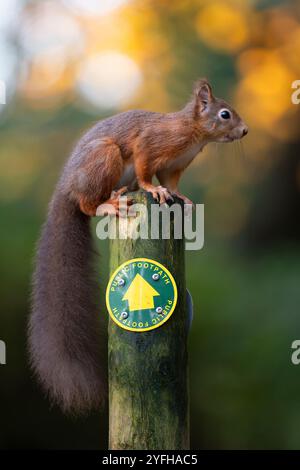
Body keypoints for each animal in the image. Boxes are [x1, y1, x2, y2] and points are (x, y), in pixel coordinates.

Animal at [28, 81, 248, 414]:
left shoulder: (175, 166)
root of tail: (67, 186)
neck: (193, 133)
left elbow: (173, 184)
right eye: (225, 114)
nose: (246, 130)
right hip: (104, 158)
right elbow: (146, 171)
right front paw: (153, 189)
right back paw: (110, 203)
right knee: (88, 204)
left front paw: (183, 200)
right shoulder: (151, 145)